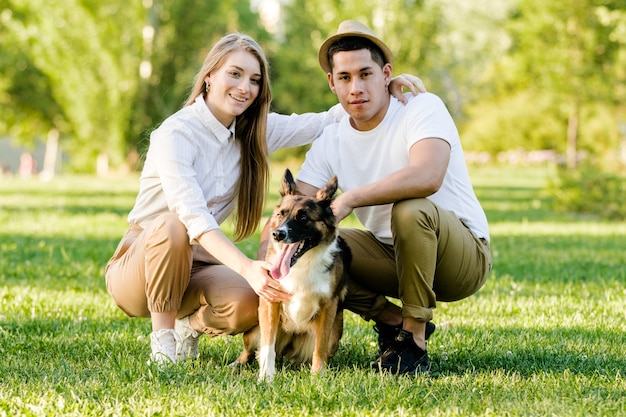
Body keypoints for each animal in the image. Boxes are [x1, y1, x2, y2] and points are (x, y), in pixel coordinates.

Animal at [232, 168, 352, 380]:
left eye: (303, 218)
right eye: (281, 214)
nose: (278, 234)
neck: (301, 264)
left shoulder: (328, 306)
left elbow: (320, 347)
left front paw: (317, 377)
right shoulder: (269, 301)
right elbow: (267, 346)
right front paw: (266, 377)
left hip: (335, 334)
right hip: (254, 332)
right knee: (250, 351)